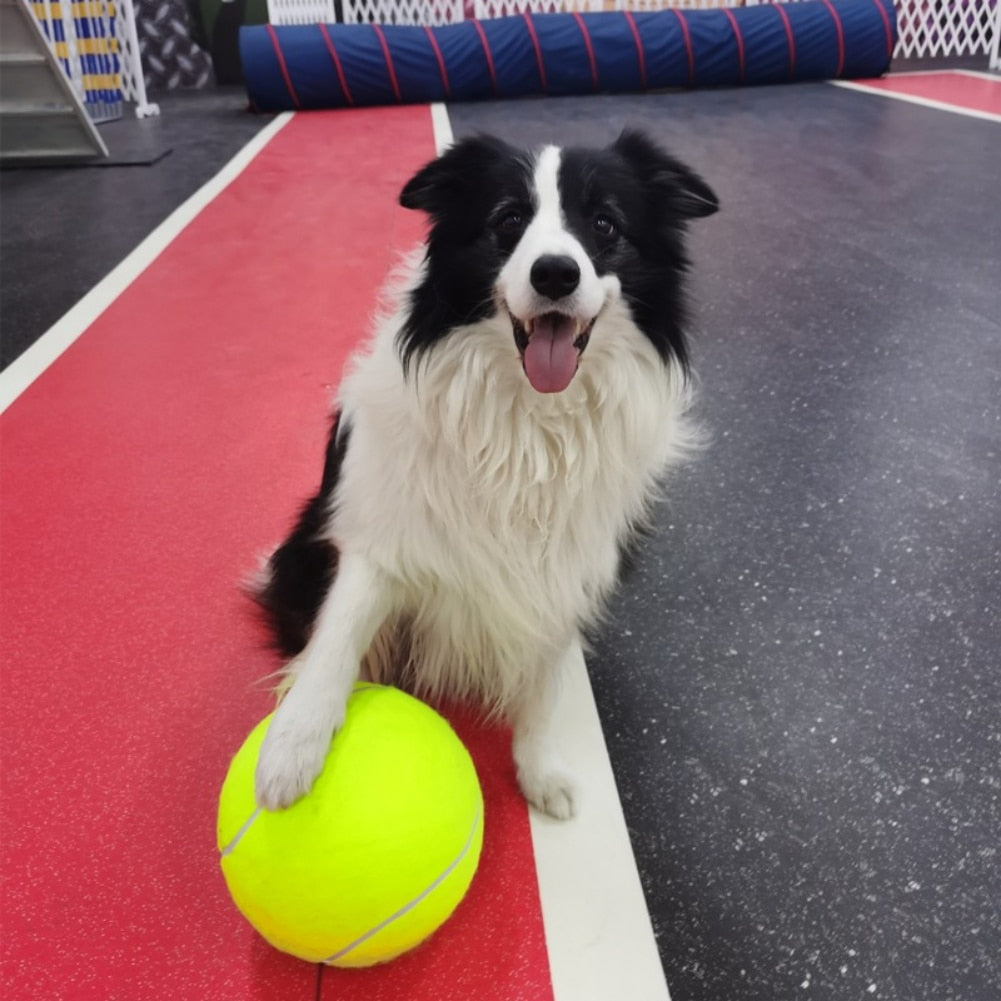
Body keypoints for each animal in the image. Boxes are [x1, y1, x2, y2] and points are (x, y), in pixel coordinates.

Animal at [254, 131, 716, 820]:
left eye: (605, 223)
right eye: (508, 220)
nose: (555, 272)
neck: (529, 420)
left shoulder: (564, 566)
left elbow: (544, 686)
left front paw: (541, 770)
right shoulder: (381, 536)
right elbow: (338, 637)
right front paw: (290, 750)